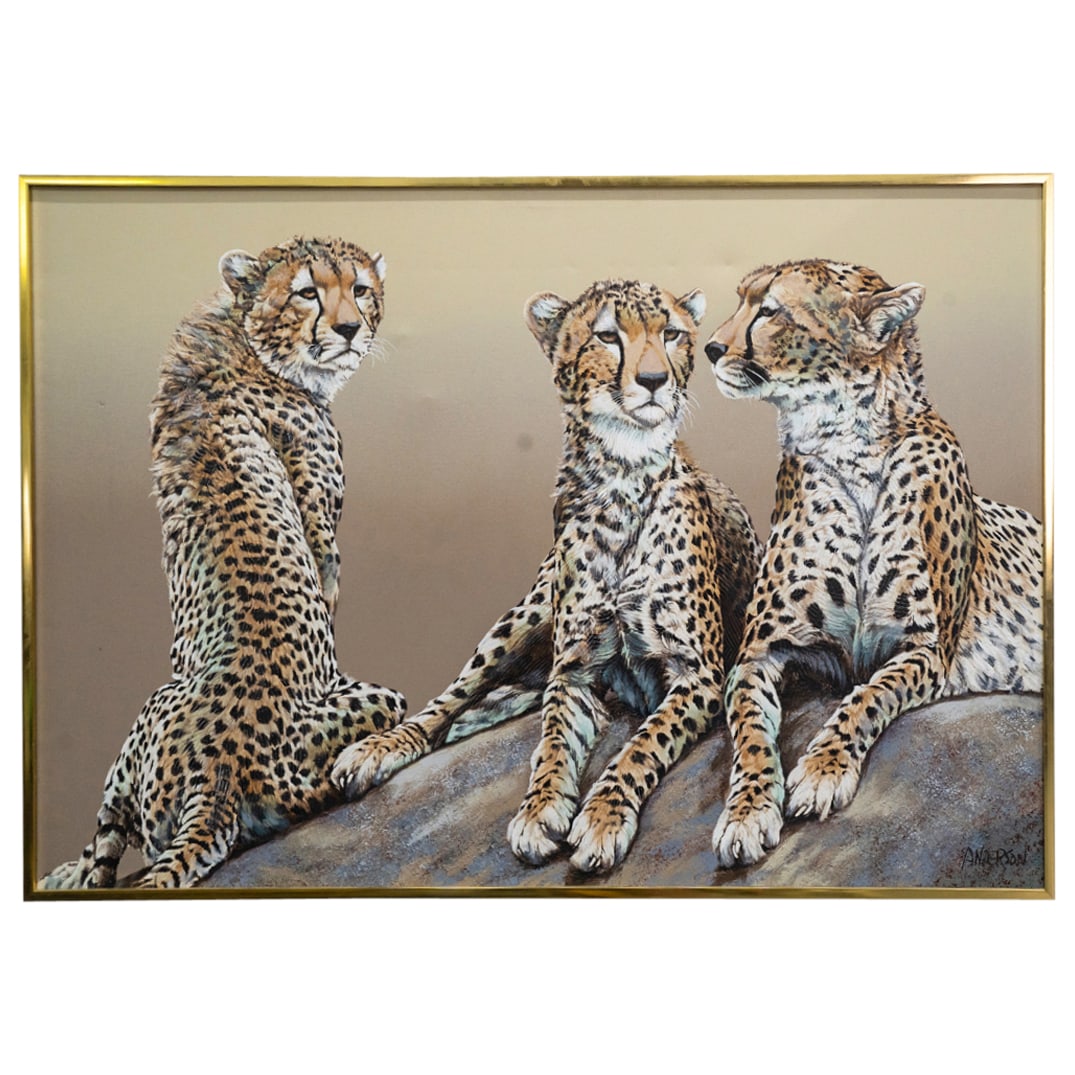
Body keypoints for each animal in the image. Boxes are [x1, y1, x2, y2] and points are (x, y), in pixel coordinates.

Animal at [40, 235, 406, 890]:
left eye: (361, 289)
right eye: (307, 291)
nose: (348, 328)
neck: (246, 340)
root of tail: (220, 766)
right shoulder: (321, 529)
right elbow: (328, 593)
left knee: (104, 851)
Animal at [332, 278, 760, 873]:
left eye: (672, 334)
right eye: (607, 336)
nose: (654, 381)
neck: (621, 478)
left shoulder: (696, 673)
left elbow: (642, 746)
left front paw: (602, 817)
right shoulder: (572, 670)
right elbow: (554, 743)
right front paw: (538, 812)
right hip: (520, 620)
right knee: (448, 703)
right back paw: (378, 748)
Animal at [704, 258, 1044, 869]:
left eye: (770, 310)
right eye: (741, 298)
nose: (711, 348)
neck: (848, 443)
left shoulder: (925, 650)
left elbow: (866, 697)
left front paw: (821, 770)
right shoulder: (760, 654)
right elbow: (750, 734)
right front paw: (747, 812)